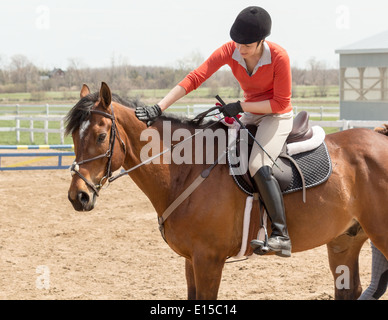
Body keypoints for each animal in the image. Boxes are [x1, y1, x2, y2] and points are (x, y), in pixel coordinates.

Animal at [66, 82, 388, 300]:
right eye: (73, 137)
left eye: (101, 136)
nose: (78, 196)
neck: (188, 169)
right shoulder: (191, 260)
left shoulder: (208, 260)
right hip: (344, 241)